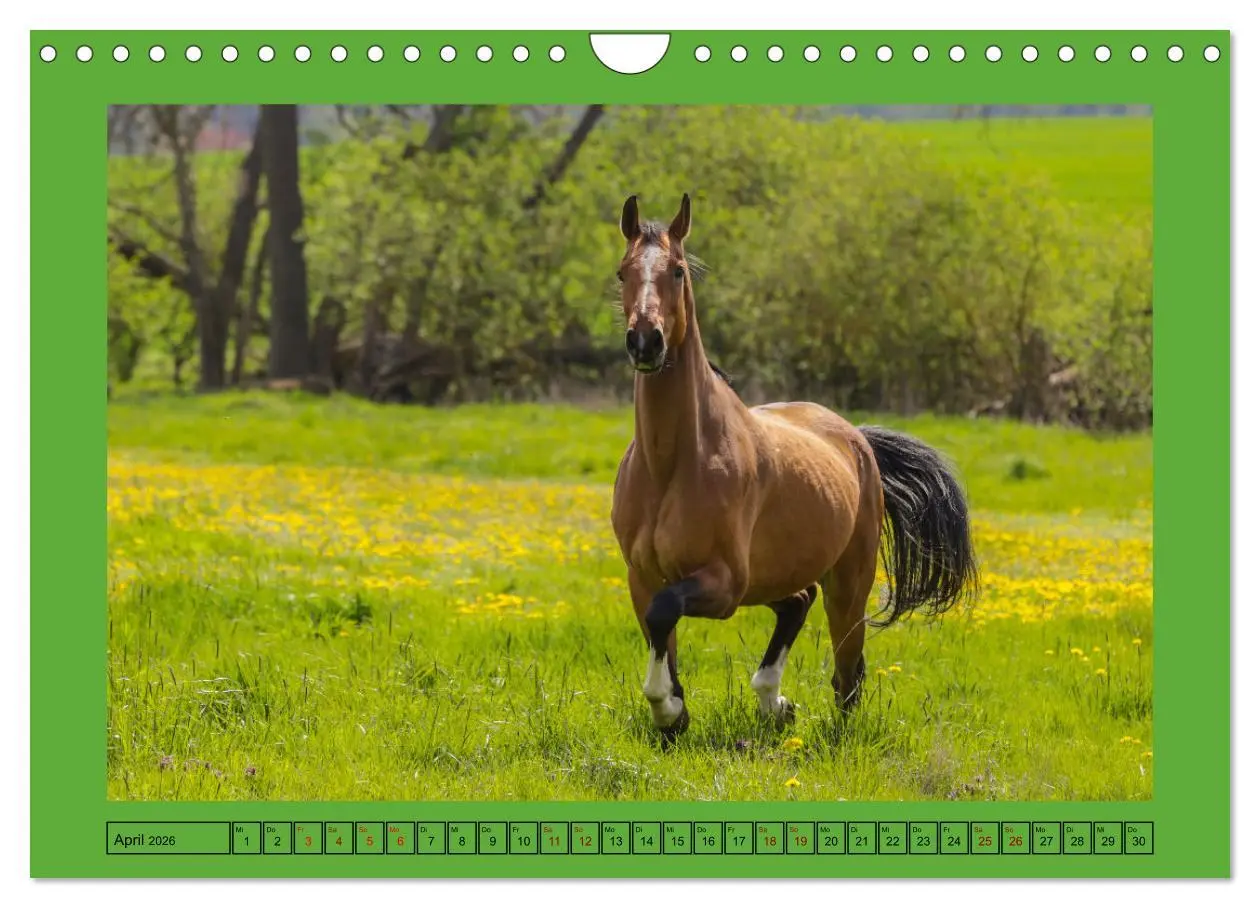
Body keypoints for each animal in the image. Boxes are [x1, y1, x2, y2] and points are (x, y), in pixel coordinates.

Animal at [610, 193, 978, 742]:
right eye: (623, 272)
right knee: (797, 603)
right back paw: (775, 702)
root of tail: (856, 439)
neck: (671, 465)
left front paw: (669, 708)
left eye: (677, 270)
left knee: (847, 671)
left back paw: (820, 727)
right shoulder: (644, 577)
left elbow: (665, 612)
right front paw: (673, 714)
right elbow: (660, 627)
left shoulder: (724, 582)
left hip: (847, 585)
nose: (645, 342)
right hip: (778, 577)